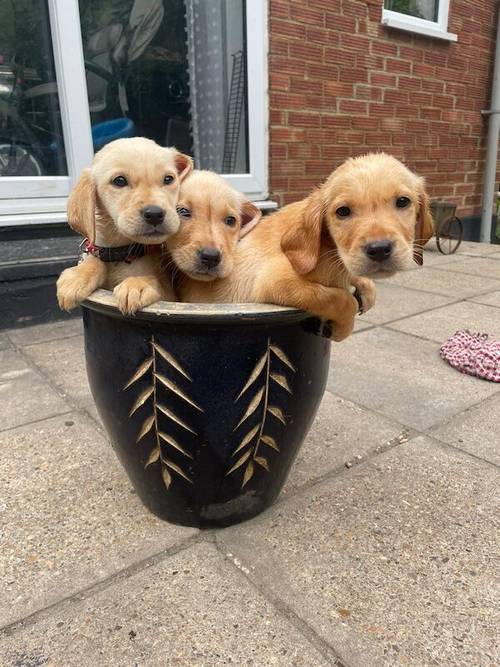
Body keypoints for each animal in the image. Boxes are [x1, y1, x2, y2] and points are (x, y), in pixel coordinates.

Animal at [56, 137, 192, 314]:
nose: (155, 214)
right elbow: (95, 259)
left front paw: (138, 284)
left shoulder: (170, 296)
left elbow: (158, 283)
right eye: (119, 181)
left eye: (169, 179)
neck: (121, 255)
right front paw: (78, 275)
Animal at [176, 154, 434, 342]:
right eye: (343, 211)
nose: (379, 249)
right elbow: (339, 299)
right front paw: (341, 328)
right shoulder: (275, 282)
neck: (328, 248)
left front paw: (365, 287)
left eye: (403, 202)